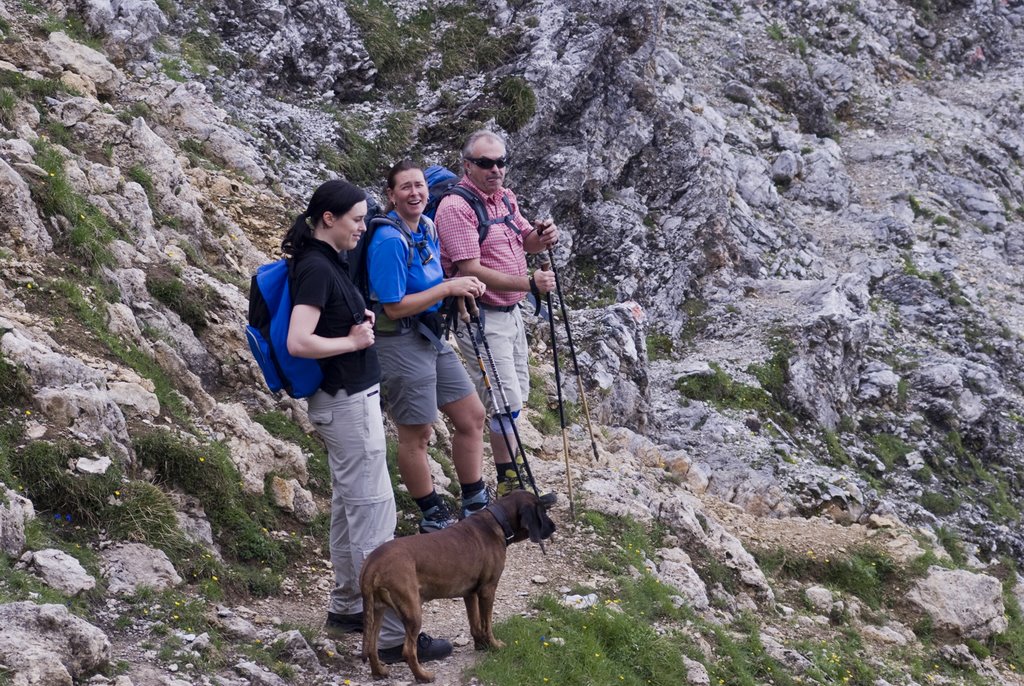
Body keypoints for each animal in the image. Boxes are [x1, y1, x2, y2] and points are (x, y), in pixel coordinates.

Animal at [358, 489, 552, 683]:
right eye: (542, 512)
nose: (554, 527)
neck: (497, 521)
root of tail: (372, 564)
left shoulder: (470, 593)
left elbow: (475, 623)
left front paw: (481, 645)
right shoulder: (487, 589)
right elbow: (487, 623)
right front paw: (494, 645)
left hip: (378, 611)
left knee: (372, 647)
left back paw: (379, 672)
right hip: (412, 610)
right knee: (407, 650)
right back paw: (423, 675)